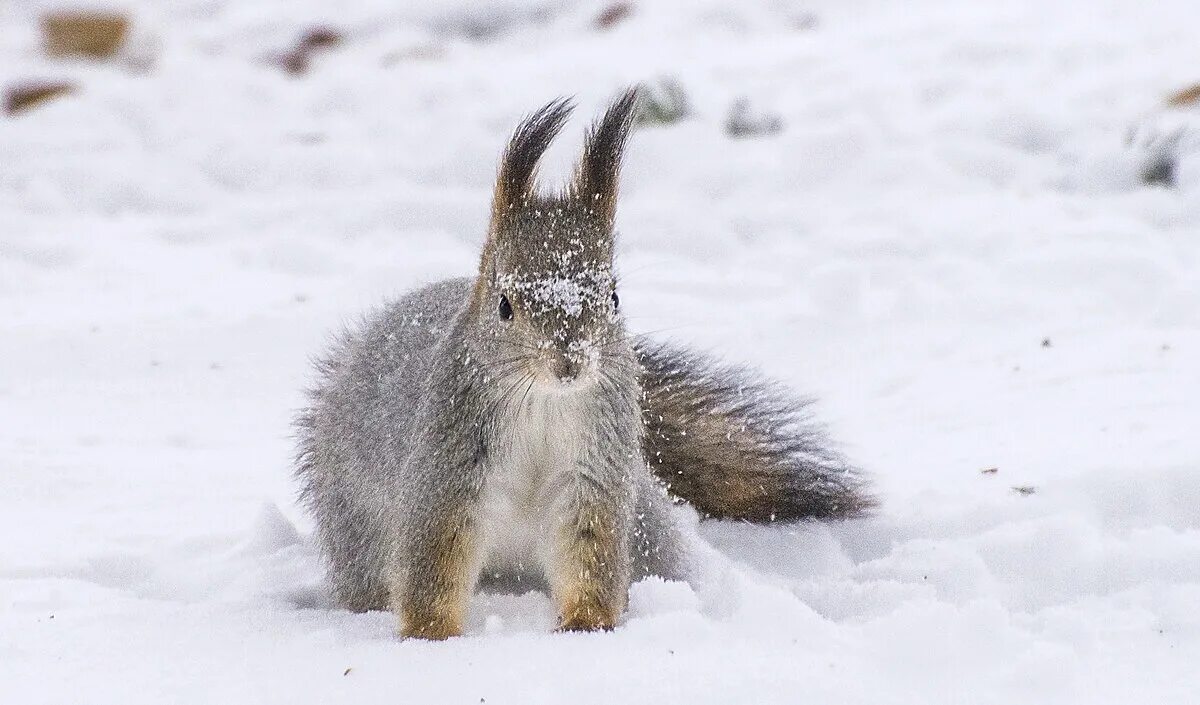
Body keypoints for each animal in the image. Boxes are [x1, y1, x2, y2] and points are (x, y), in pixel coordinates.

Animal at [292, 88, 873, 637]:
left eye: (614, 297)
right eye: (504, 305)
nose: (569, 362)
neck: (544, 403)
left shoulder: (595, 468)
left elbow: (588, 549)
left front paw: (585, 627)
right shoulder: (447, 464)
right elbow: (435, 556)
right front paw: (432, 636)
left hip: (645, 527)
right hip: (357, 525)